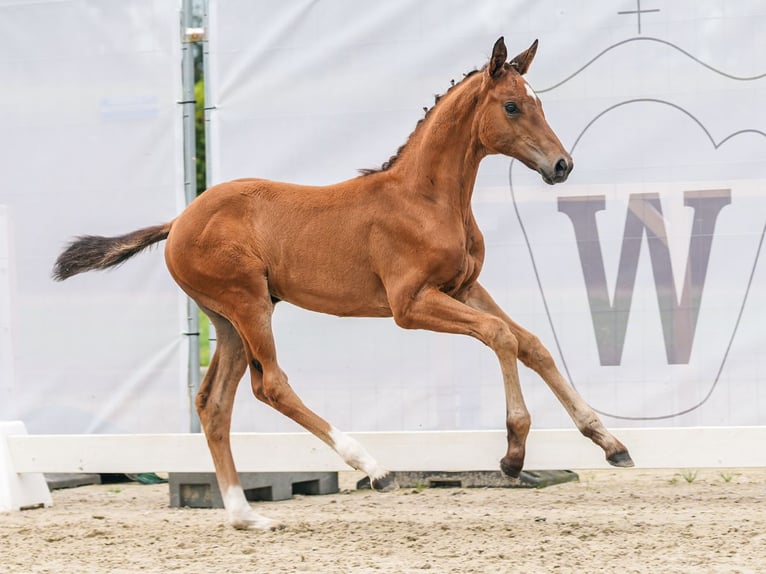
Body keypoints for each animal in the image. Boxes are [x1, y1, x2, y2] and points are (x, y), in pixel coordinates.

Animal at [55, 37, 636, 532]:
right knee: (271, 385)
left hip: (228, 319)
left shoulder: (463, 287)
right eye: (513, 106)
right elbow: (501, 336)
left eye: (538, 103)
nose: (561, 165)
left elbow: (532, 343)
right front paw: (513, 453)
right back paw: (373, 467)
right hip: (248, 304)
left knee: (214, 404)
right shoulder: (410, 304)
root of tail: (177, 221)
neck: (426, 198)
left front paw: (610, 443)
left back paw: (246, 516)